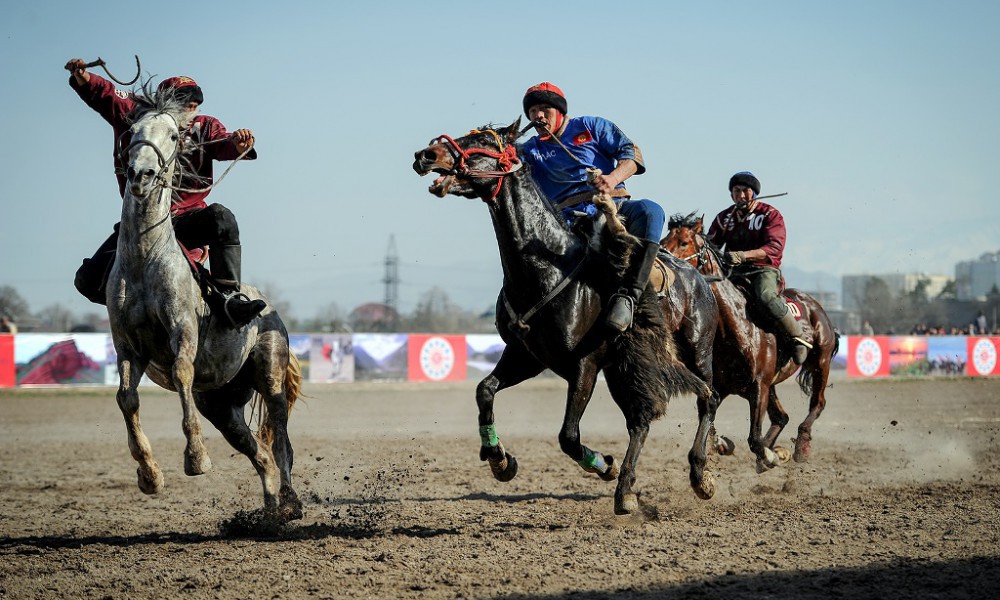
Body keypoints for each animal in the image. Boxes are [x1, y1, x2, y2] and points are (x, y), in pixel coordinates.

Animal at [109, 85, 302, 520]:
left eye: (172, 135)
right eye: (132, 134)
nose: (141, 175)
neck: (145, 259)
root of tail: (269, 308)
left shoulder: (182, 329)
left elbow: (181, 373)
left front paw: (196, 458)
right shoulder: (128, 345)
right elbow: (126, 398)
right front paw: (150, 475)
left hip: (270, 375)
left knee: (281, 442)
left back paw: (290, 501)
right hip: (221, 405)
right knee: (259, 453)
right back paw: (270, 510)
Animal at [412, 119, 720, 512]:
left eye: (482, 141)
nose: (426, 154)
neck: (545, 267)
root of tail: (700, 277)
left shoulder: (585, 364)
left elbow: (568, 436)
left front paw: (602, 463)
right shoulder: (527, 355)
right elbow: (485, 390)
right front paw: (500, 460)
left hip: (696, 350)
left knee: (708, 397)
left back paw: (699, 475)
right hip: (624, 366)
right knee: (640, 420)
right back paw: (626, 490)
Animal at [660, 211, 840, 468]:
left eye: (684, 242)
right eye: (664, 239)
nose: (663, 260)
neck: (735, 329)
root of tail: (817, 307)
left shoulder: (759, 387)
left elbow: (754, 438)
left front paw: (770, 454)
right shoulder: (722, 387)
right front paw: (725, 445)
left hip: (820, 363)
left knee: (817, 403)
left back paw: (801, 447)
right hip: (774, 384)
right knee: (781, 417)